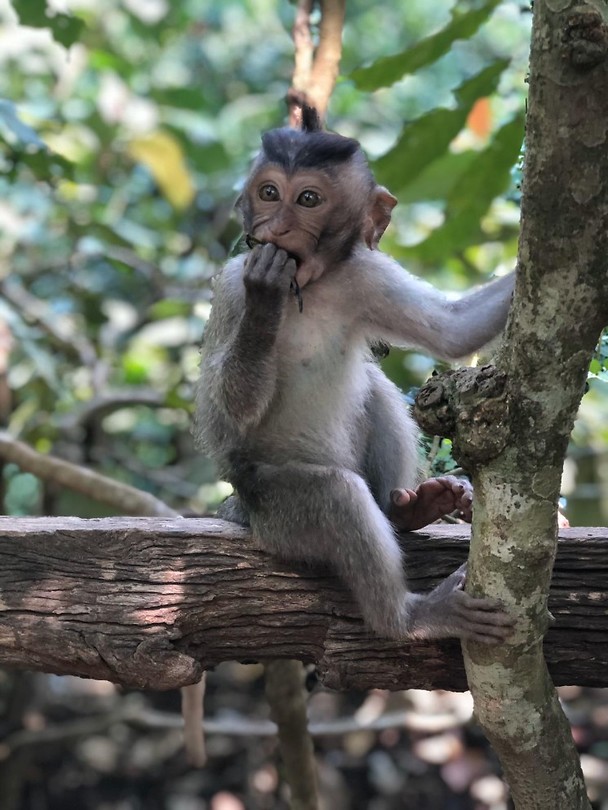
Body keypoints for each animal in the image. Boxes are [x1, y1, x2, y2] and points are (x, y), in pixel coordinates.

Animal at [194, 106, 516, 644]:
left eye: (307, 199)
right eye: (269, 192)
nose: (276, 227)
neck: (311, 287)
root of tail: (243, 511)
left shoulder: (365, 274)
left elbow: (452, 331)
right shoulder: (232, 286)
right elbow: (226, 417)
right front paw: (266, 296)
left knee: (374, 390)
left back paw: (405, 510)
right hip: (274, 510)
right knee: (337, 494)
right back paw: (409, 618)